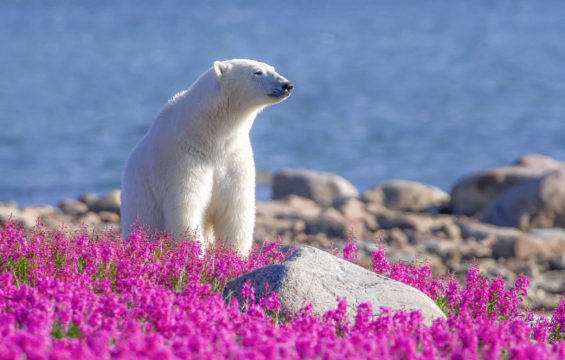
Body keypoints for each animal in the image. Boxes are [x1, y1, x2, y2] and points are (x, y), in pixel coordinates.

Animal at [120, 59, 294, 256]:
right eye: (257, 72)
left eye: (272, 68)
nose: (287, 85)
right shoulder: (180, 158)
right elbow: (186, 209)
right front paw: (195, 255)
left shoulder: (233, 157)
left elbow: (235, 210)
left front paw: (235, 256)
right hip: (139, 208)